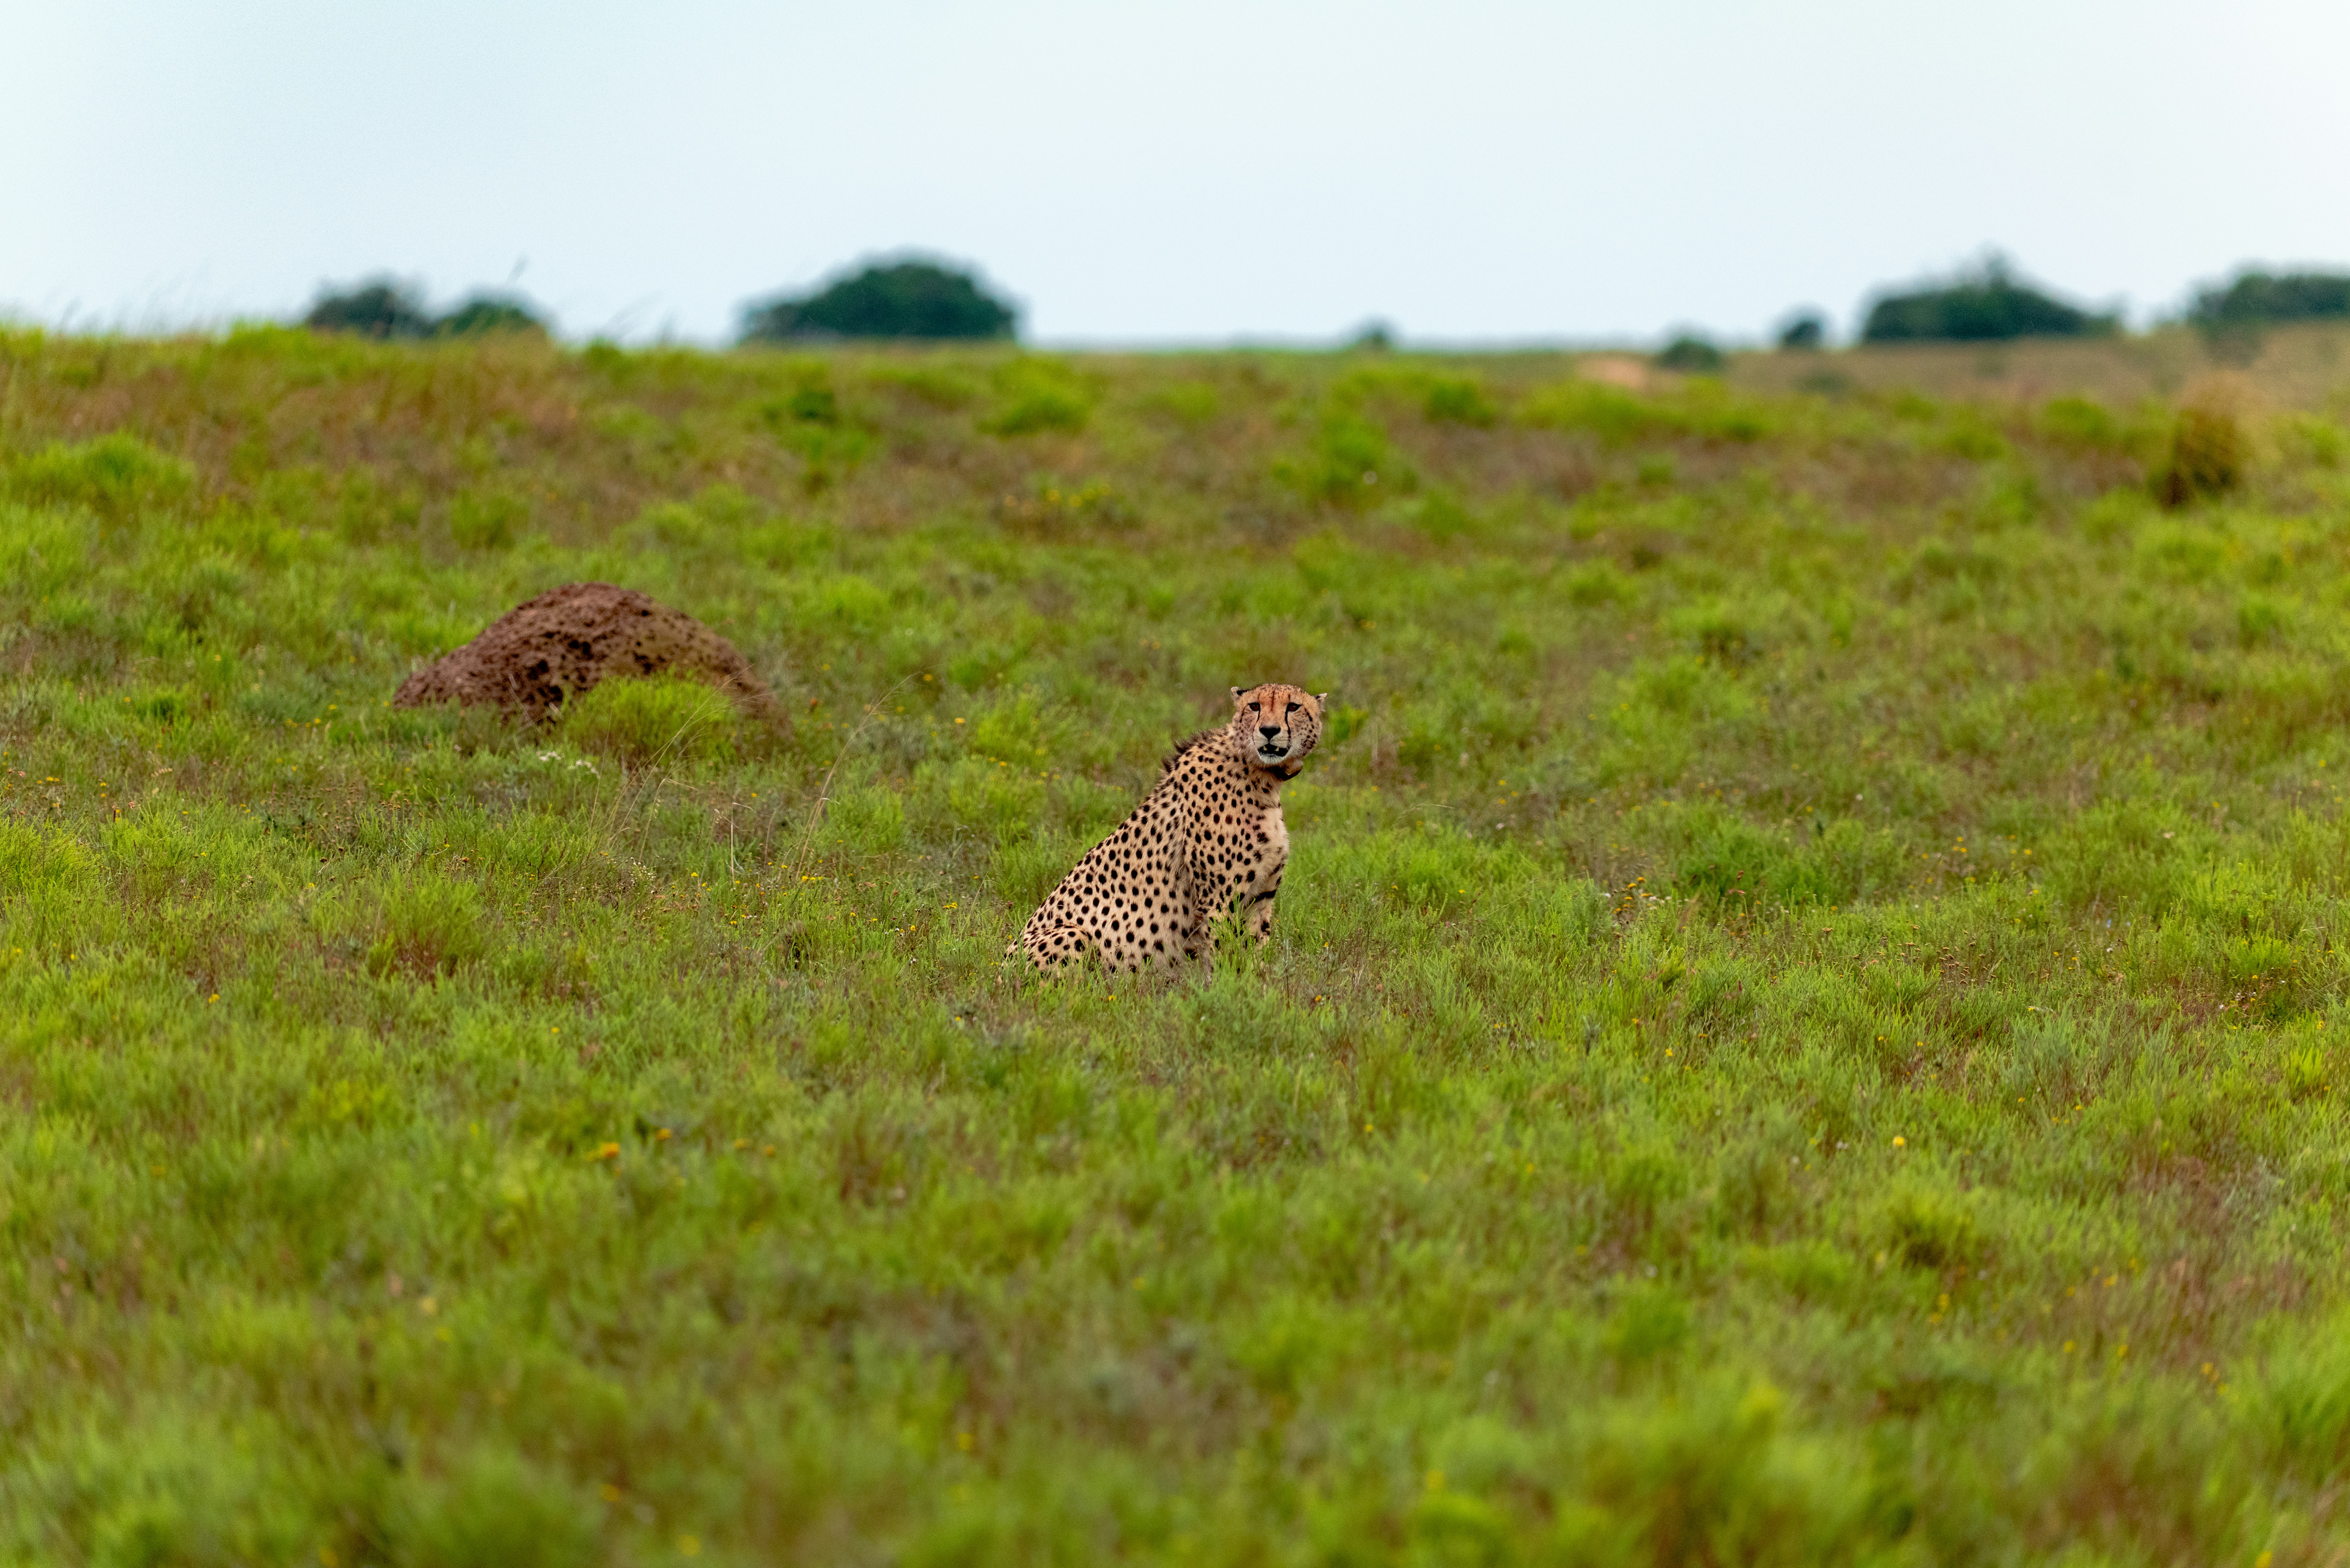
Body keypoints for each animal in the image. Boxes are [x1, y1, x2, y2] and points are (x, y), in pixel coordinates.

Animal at [1013, 683, 1328, 972]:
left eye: (1293, 707)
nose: (1269, 730)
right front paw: (1229, 987)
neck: (1261, 776)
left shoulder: (1260, 897)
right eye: (1254, 706)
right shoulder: (1217, 900)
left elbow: (1255, 955)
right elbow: (1224, 956)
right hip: (1074, 934)